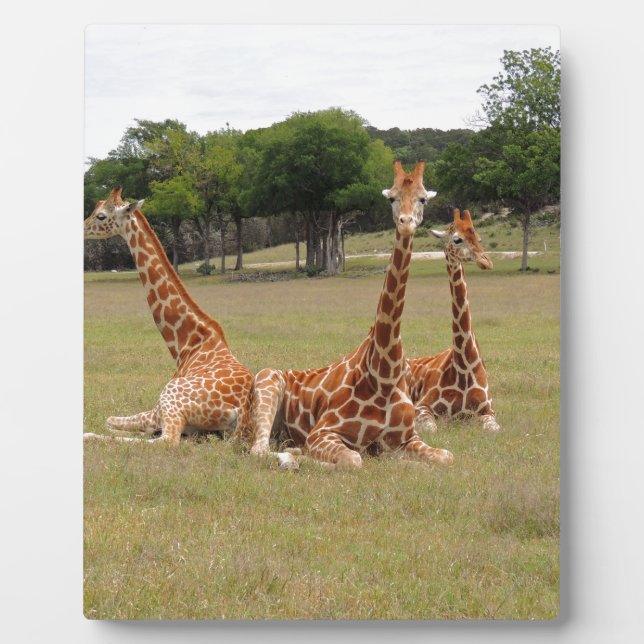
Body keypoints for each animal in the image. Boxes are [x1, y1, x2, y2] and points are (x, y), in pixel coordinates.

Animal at [83, 188, 297, 467]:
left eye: (100, 215)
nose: (82, 228)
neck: (187, 344)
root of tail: (237, 412)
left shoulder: (157, 409)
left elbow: (110, 420)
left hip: (171, 399)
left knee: (165, 441)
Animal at [249, 161, 454, 468]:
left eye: (423, 199)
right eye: (391, 198)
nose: (405, 223)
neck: (383, 375)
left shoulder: (406, 439)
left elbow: (446, 456)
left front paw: (411, 464)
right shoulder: (322, 432)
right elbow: (354, 459)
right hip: (267, 381)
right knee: (259, 450)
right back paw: (294, 455)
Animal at [406, 208, 501, 433]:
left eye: (478, 237)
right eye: (457, 239)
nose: (486, 262)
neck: (464, 366)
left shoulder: (489, 411)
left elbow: (492, 430)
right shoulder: (422, 406)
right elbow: (431, 428)